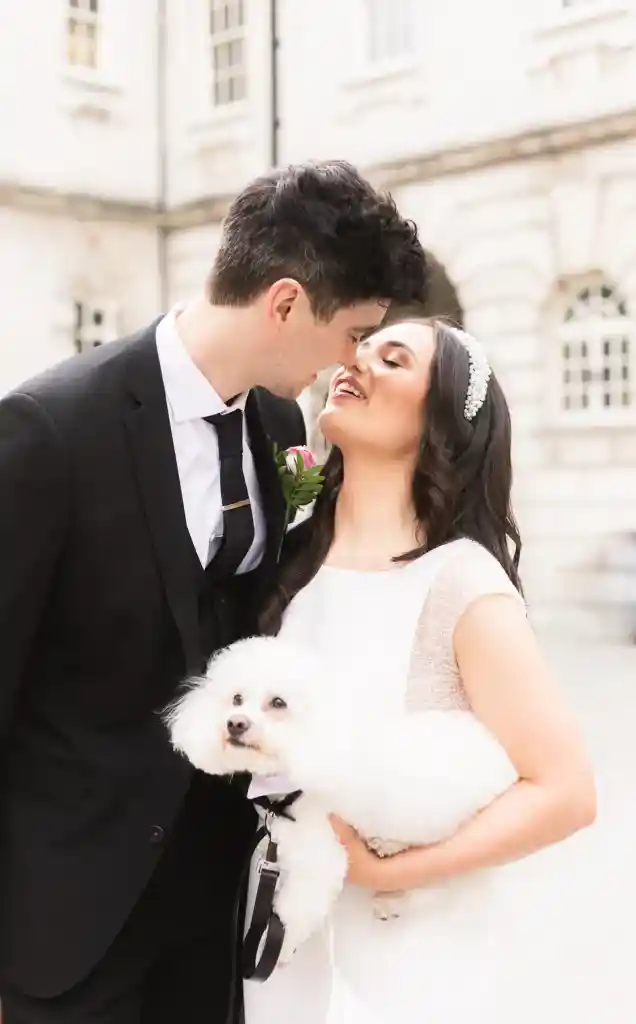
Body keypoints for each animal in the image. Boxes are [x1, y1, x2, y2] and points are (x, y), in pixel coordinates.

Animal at [164, 634, 516, 962]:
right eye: (236, 699)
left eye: (278, 703)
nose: (235, 723)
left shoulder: (319, 858)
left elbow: (292, 912)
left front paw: (279, 948)